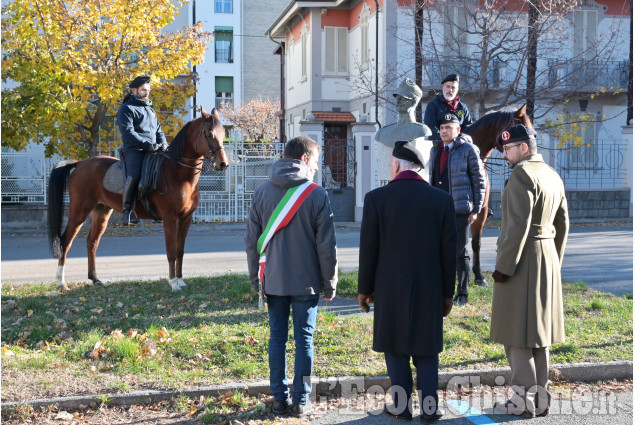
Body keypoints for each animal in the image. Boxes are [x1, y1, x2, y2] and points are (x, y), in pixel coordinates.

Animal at [47, 107, 231, 292]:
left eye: (223, 133)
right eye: (209, 134)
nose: (223, 164)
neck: (178, 174)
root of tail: (80, 164)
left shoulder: (186, 218)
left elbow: (180, 251)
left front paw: (180, 280)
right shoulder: (170, 219)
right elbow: (171, 252)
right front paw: (173, 283)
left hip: (101, 212)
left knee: (92, 242)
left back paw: (95, 278)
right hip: (79, 211)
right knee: (65, 242)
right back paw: (61, 283)